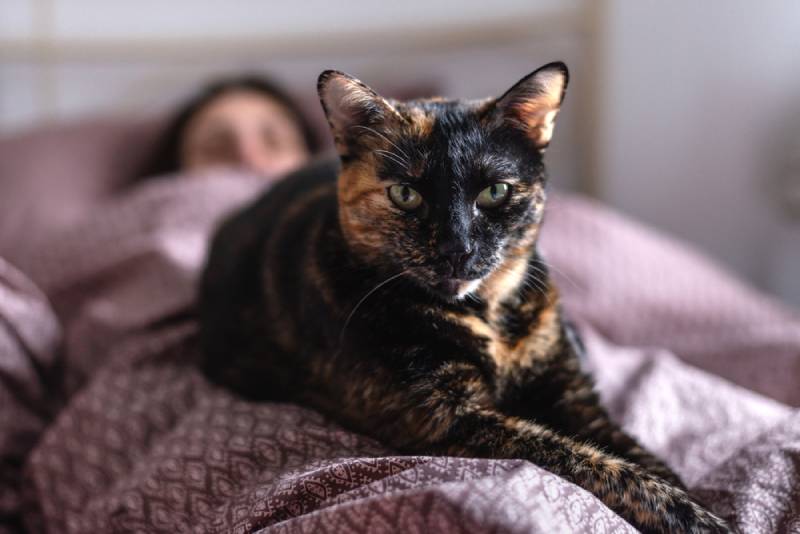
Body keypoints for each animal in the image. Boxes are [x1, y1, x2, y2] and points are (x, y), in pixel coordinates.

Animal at [200, 63, 732, 534]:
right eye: (406, 194)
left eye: (495, 191)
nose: (457, 248)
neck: (488, 317)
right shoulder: (448, 419)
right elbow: (593, 462)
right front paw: (699, 518)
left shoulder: (574, 395)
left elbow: (635, 453)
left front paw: (694, 494)